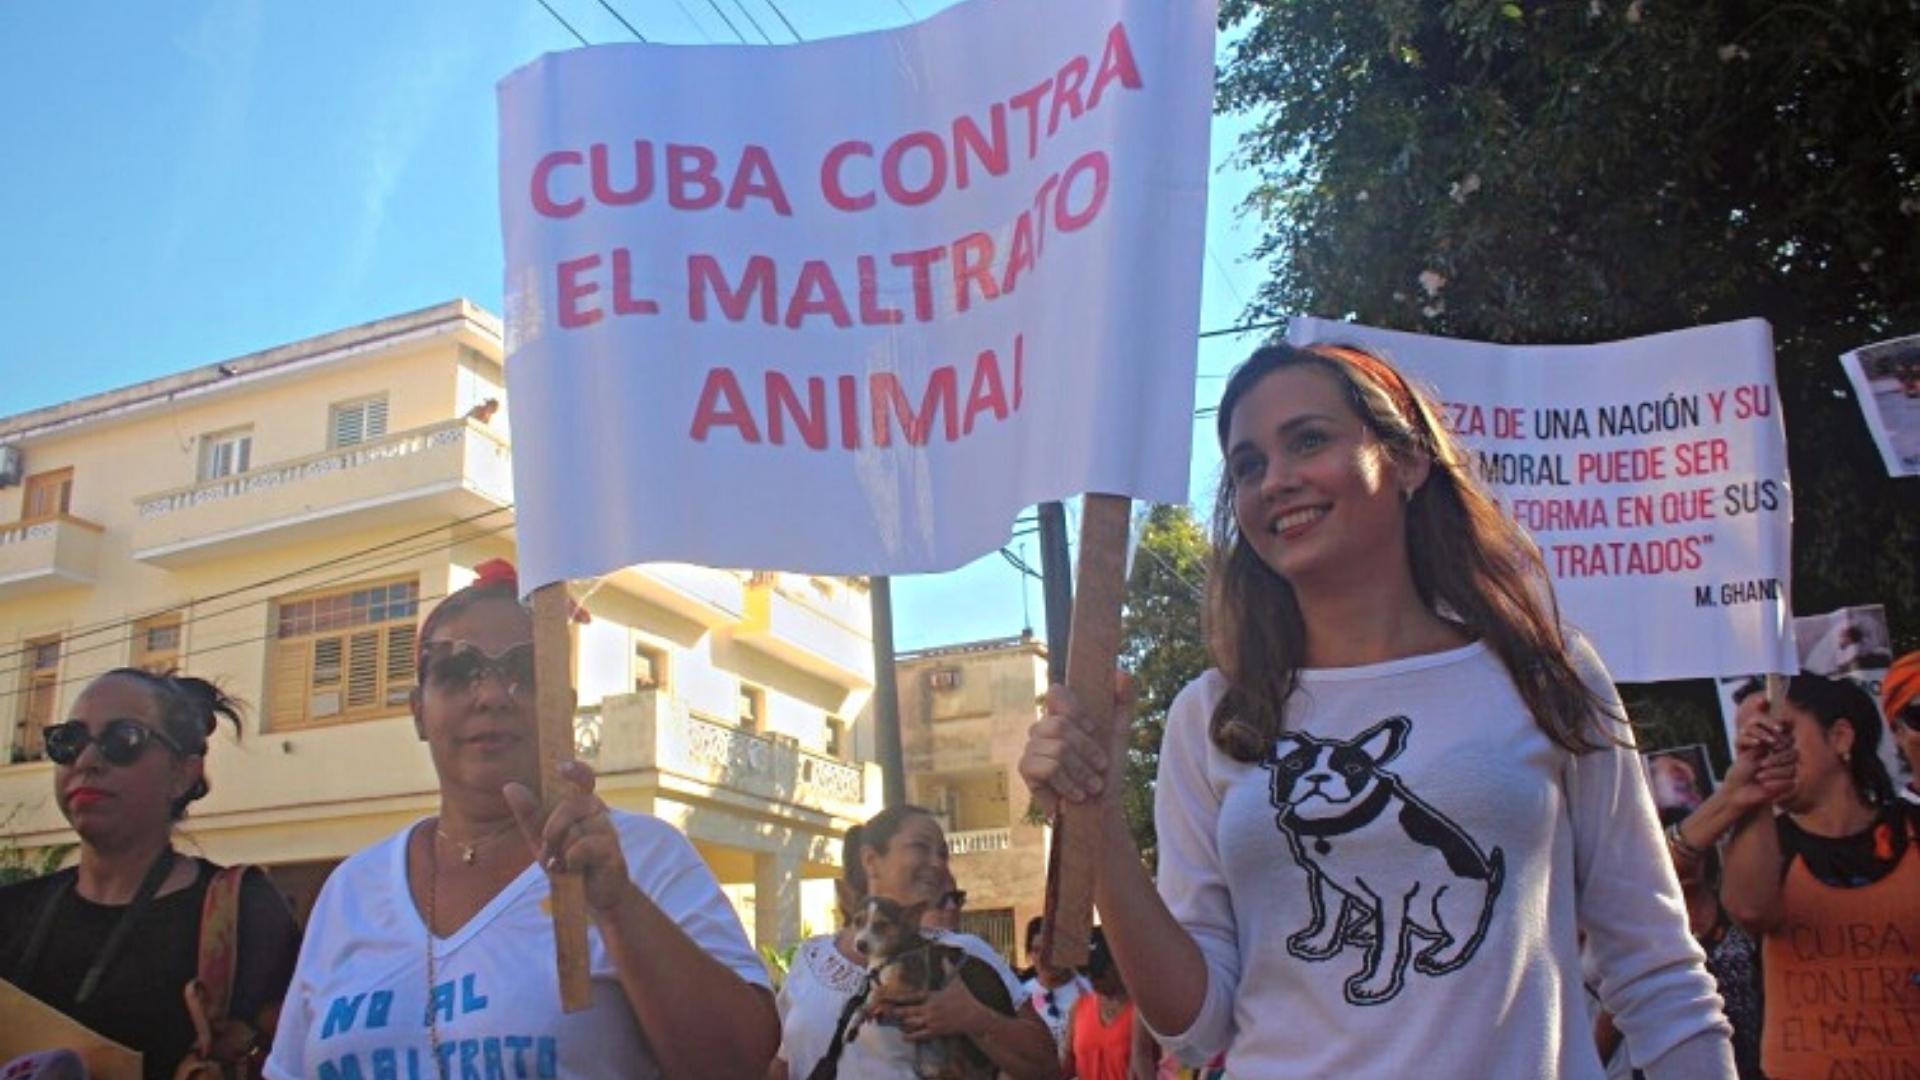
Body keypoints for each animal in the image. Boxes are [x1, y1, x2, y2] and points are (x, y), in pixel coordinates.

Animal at [844, 891, 1013, 1076]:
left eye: (881, 924)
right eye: (857, 921)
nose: (860, 945)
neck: (891, 954)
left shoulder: (915, 988)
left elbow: (877, 992)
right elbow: (866, 1002)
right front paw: (856, 1021)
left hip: (962, 1042)